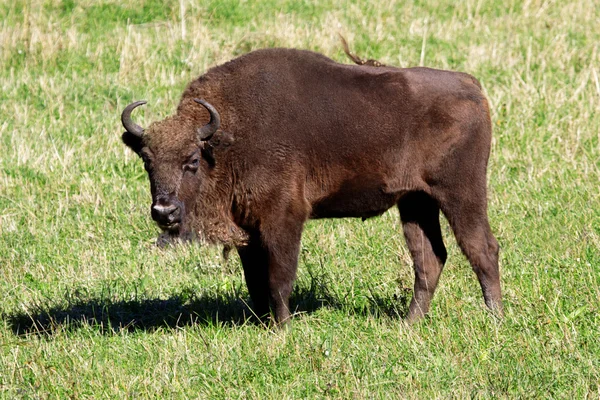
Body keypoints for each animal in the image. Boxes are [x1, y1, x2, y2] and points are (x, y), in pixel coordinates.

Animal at [120, 43, 502, 324]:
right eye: (147, 161)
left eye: (192, 161)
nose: (164, 211)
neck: (228, 137)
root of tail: (472, 87)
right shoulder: (248, 227)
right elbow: (255, 279)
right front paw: (262, 323)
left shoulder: (283, 219)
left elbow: (279, 278)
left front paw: (283, 327)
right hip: (415, 203)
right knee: (429, 259)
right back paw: (408, 324)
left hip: (461, 194)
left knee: (482, 249)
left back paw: (495, 319)